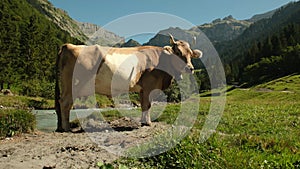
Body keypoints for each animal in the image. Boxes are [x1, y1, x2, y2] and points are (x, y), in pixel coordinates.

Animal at [55, 34, 203, 132]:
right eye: (177, 52)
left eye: (190, 54)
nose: (190, 68)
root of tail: (67, 45)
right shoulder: (150, 86)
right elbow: (148, 104)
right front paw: (148, 123)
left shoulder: (143, 89)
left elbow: (144, 105)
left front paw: (143, 122)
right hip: (72, 84)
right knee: (65, 103)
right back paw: (67, 128)